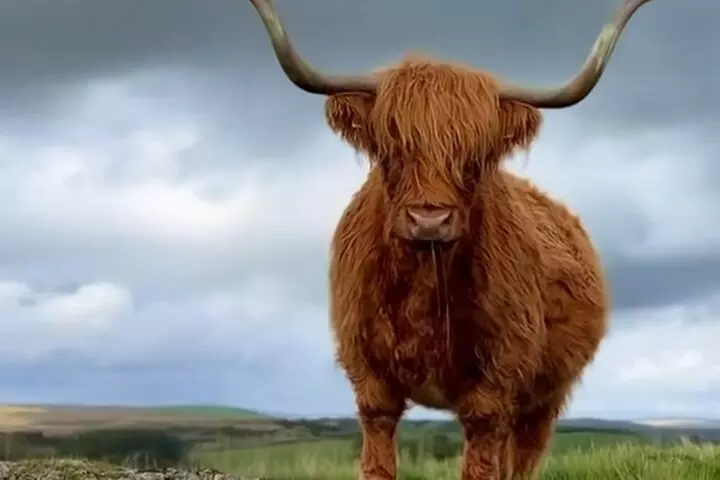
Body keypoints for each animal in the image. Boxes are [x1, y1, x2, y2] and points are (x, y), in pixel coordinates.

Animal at [247, 0, 657, 478]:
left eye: (475, 157)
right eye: (392, 150)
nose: (430, 219)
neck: (426, 279)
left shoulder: (495, 382)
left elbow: (481, 459)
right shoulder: (369, 376)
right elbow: (379, 453)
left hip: (543, 399)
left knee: (522, 456)